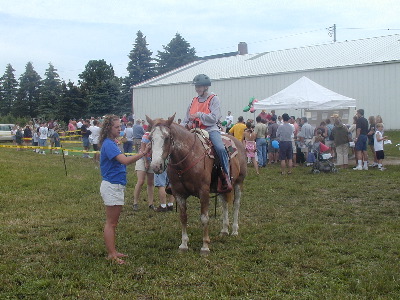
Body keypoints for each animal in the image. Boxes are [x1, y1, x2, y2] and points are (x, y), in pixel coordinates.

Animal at [147, 113, 247, 254]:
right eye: (150, 138)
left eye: (166, 138)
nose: (156, 166)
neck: (188, 157)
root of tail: (238, 142)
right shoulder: (178, 193)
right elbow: (183, 217)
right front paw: (183, 245)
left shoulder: (203, 192)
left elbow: (204, 218)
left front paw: (205, 246)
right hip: (222, 187)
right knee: (224, 204)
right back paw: (224, 230)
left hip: (239, 182)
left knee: (236, 204)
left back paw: (234, 230)